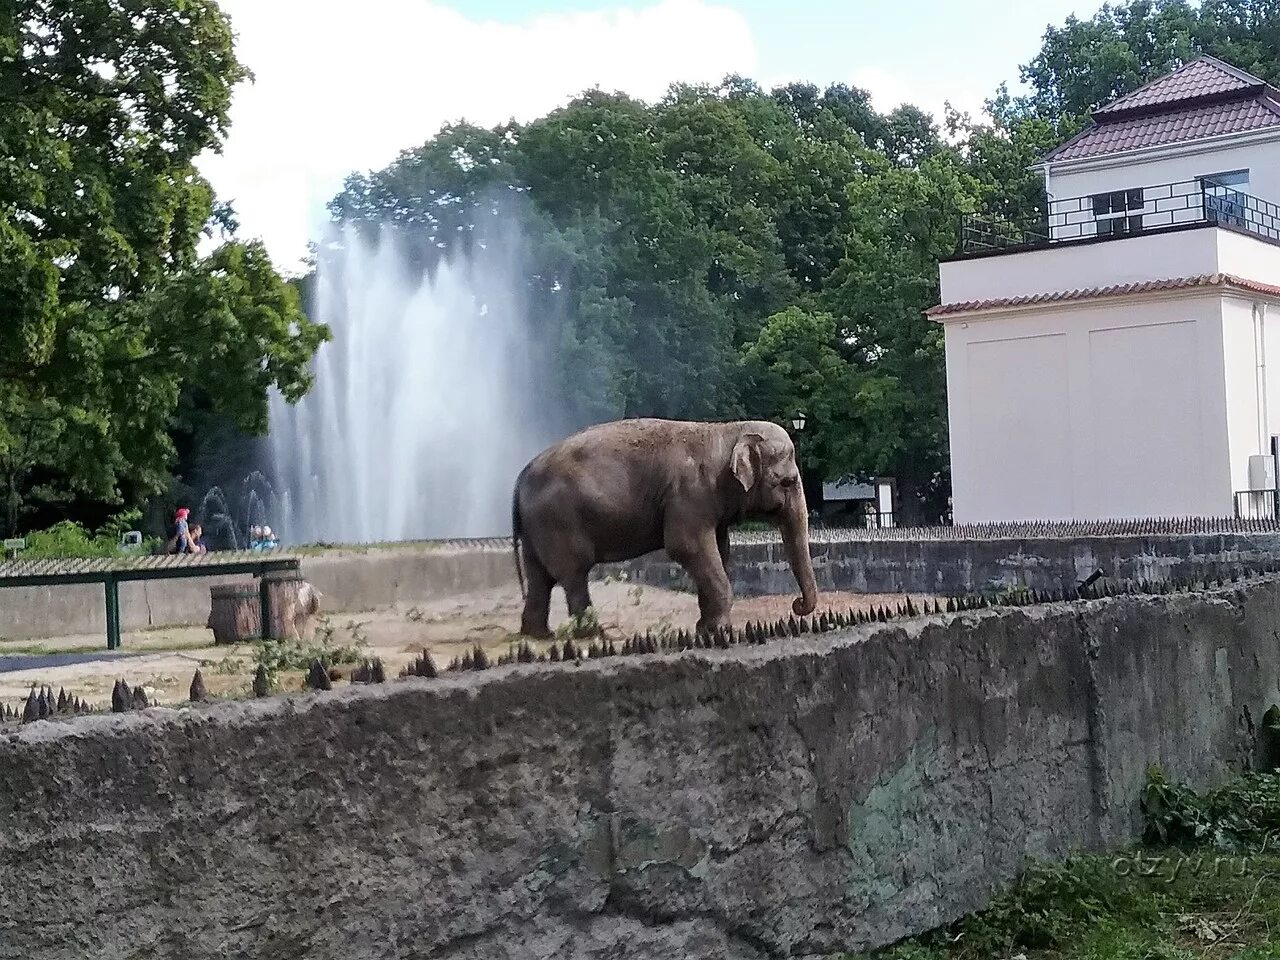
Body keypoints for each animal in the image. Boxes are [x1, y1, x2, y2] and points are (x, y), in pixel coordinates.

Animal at [509, 419, 819, 640]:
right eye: (788, 482)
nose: (796, 605)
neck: (727, 431)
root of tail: (520, 476)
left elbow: (720, 550)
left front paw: (706, 629)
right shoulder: (688, 495)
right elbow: (687, 547)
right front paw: (720, 631)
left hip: (537, 527)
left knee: (540, 577)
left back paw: (540, 635)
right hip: (558, 521)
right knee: (573, 574)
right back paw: (593, 635)